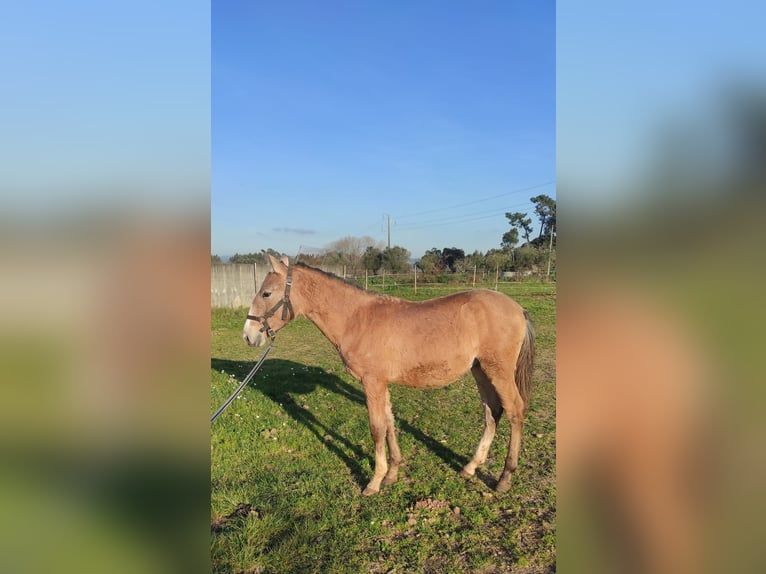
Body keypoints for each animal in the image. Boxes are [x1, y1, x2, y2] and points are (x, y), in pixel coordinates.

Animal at [243, 254, 536, 498]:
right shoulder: (380, 384)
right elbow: (389, 422)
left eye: (267, 293)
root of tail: (519, 309)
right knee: (492, 412)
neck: (357, 319)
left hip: (498, 371)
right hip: (480, 370)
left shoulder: (372, 382)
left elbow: (376, 428)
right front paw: (393, 473)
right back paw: (470, 467)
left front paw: (374, 481)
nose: (248, 335)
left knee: (514, 411)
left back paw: (504, 478)